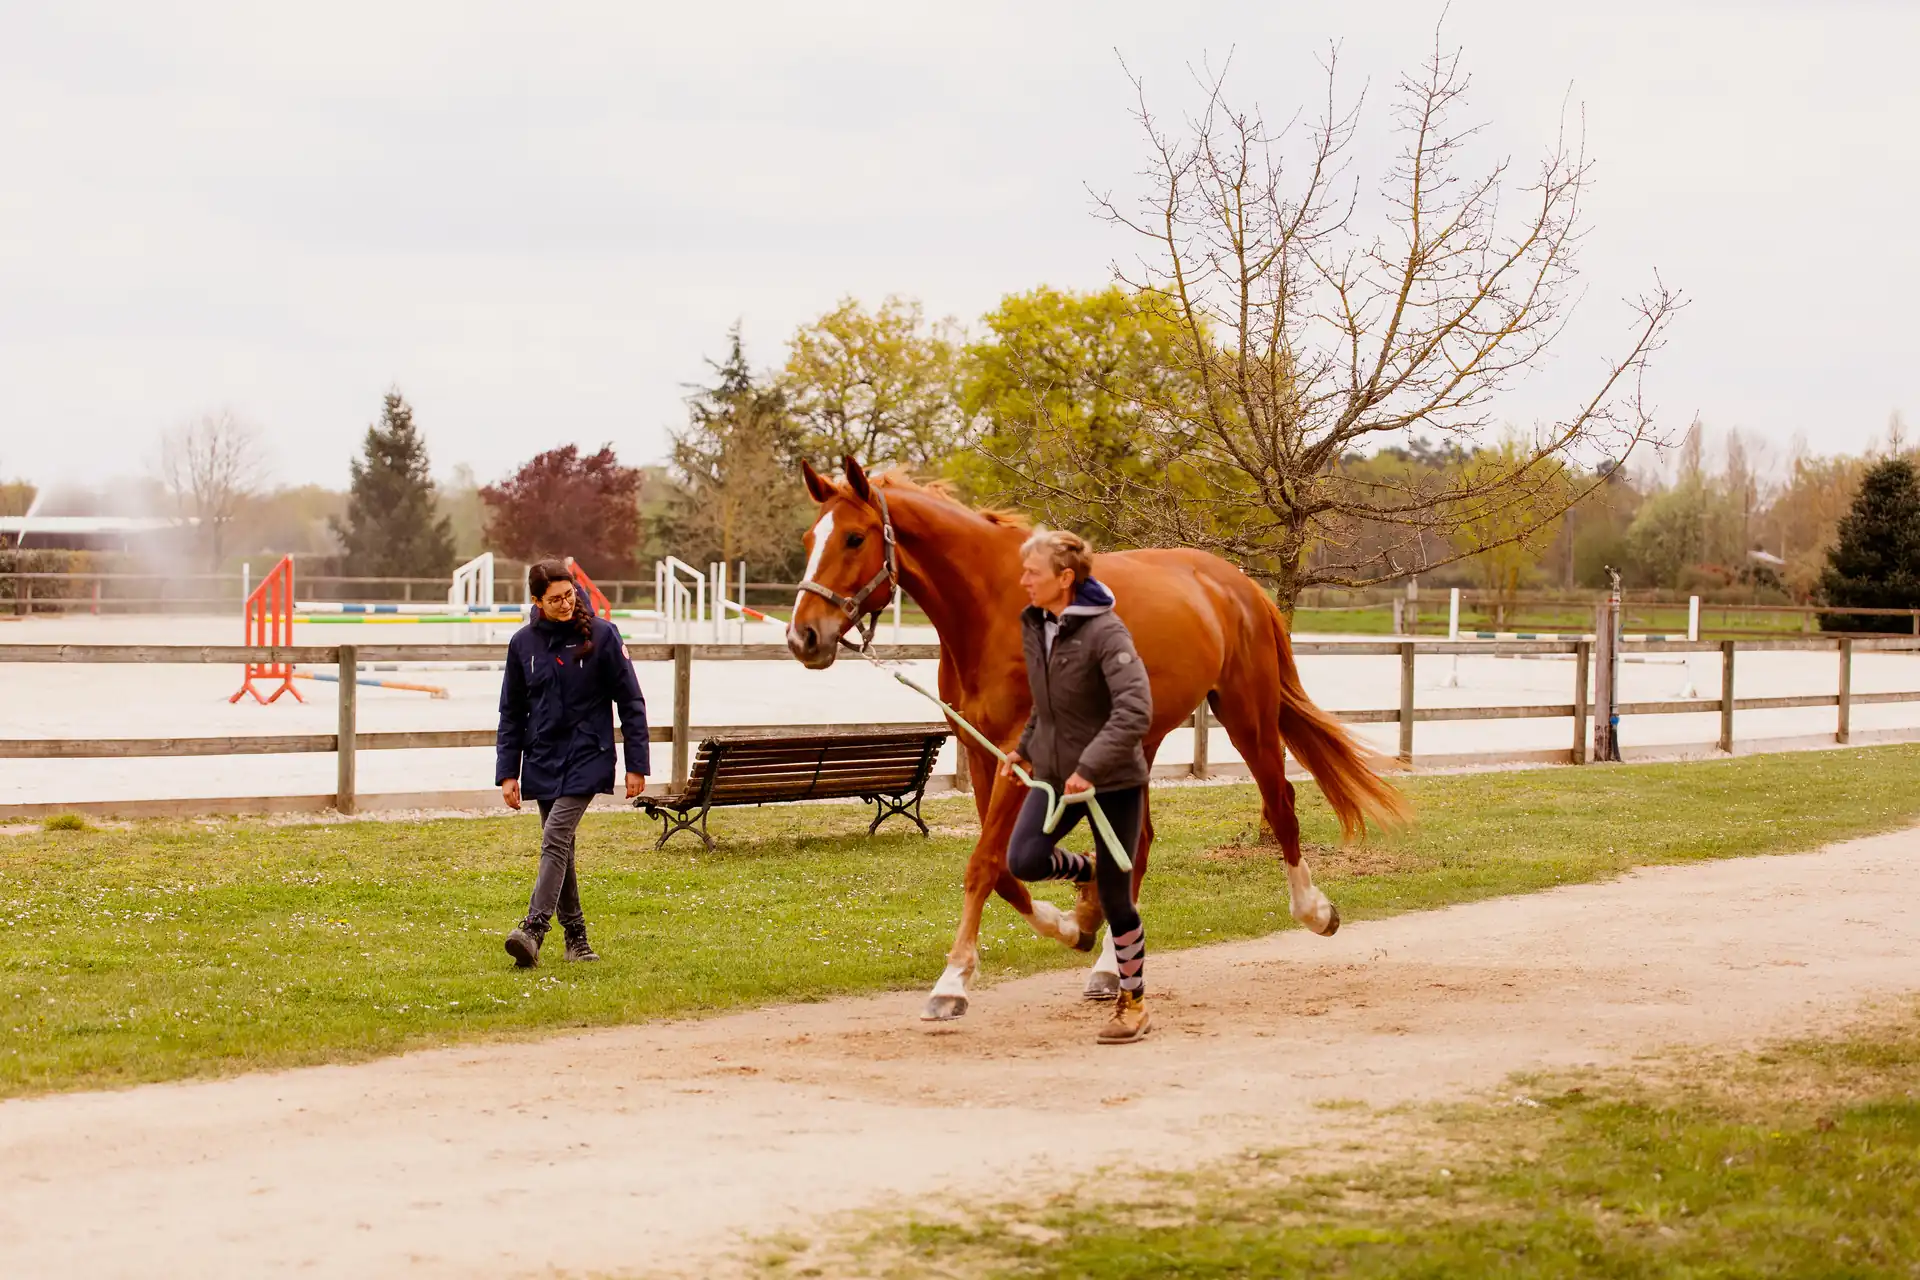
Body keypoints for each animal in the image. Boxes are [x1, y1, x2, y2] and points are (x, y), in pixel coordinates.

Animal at [786, 456, 1405, 1020]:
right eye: (809, 538)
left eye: (854, 537)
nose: (803, 637)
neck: (993, 608)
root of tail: (1240, 586)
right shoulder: (983, 753)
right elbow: (1005, 869)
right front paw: (1073, 922)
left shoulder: (1021, 756)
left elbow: (985, 864)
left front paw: (953, 982)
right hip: (1140, 741)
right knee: (1139, 845)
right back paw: (1109, 964)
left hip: (1247, 717)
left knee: (1280, 805)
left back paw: (1315, 911)